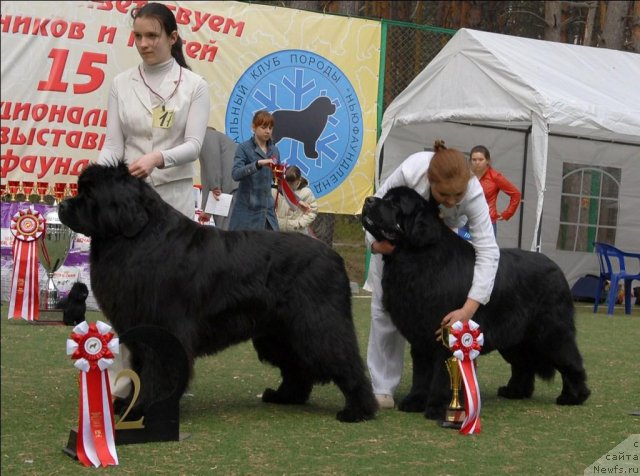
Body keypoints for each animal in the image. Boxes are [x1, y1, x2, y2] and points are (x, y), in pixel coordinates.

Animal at [57, 165, 378, 424]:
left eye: (89, 193)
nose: (62, 204)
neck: (139, 237)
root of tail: (334, 257)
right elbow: (141, 369)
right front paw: (129, 402)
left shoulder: (163, 327)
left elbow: (157, 371)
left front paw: (144, 408)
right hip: (279, 332)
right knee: (296, 365)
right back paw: (285, 396)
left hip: (318, 324)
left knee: (344, 360)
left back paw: (358, 410)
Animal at [360, 186, 592, 420]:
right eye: (385, 198)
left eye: (395, 204)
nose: (369, 200)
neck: (415, 257)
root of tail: (557, 269)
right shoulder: (419, 333)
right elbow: (421, 371)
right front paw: (415, 401)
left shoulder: (446, 330)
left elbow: (441, 374)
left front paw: (437, 408)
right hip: (514, 338)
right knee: (522, 364)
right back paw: (514, 391)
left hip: (551, 332)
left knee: (570, 360)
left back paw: (573, 396)